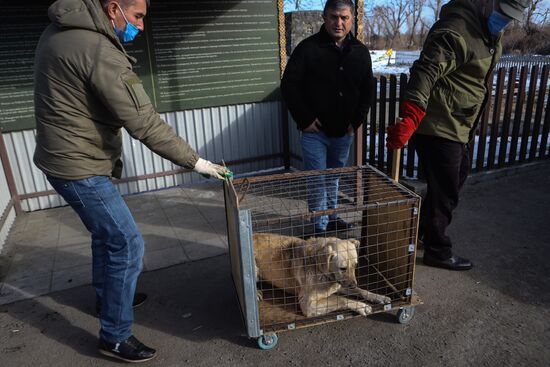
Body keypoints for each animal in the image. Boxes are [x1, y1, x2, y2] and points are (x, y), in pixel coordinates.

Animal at [254, 234, 392, 318]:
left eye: (355, 265)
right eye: (343, 268)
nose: (353, 285)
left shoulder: (339, 285)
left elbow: (361, 290)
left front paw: (378, 296)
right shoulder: (308, 304)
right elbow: (340, 299)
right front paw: (362, 306)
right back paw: (256, 293)